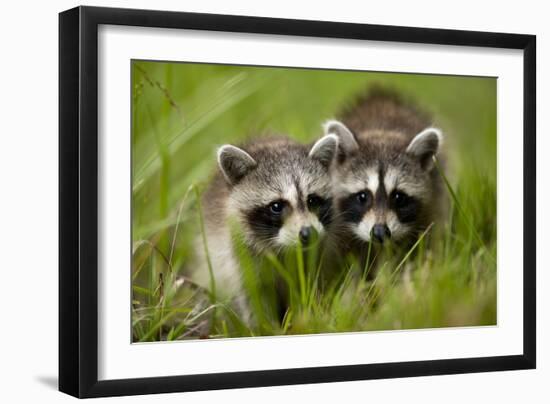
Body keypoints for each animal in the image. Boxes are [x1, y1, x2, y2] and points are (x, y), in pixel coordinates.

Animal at [193, 134, 340, 324]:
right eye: (276, 206)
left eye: (312, 200)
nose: (309, 233)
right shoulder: (240, 257)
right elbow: (254, 299)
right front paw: (265, 326)